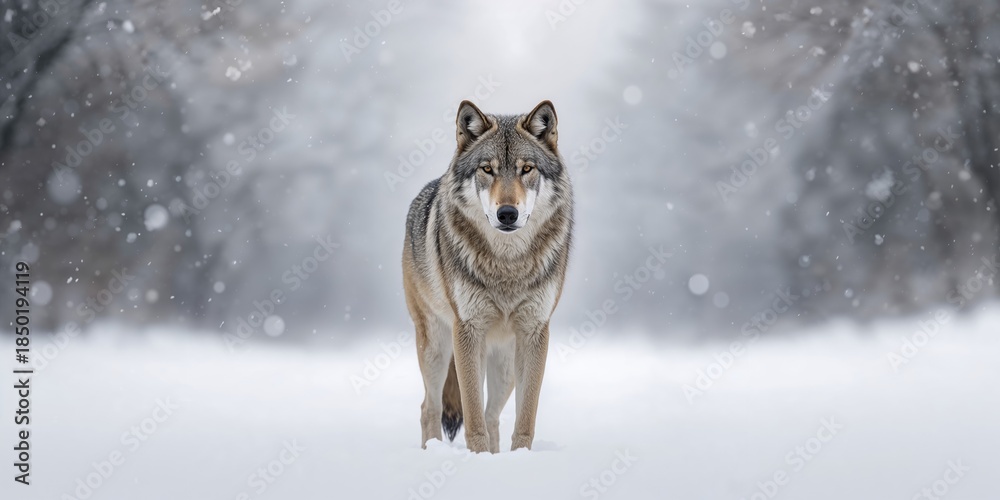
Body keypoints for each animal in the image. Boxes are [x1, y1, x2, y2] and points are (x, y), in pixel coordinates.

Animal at [401, 100, 573, 453]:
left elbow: (524, 417)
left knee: (491, 415)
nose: (506, 213)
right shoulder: (467, 329)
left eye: (526, 169)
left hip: (504, 363)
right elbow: (472, 416)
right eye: (487, 169)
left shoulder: (535, 331)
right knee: (430, 407)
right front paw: (478, 457)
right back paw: (432, 450)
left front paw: (519, 456)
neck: (507, 264)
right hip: (437, 346)